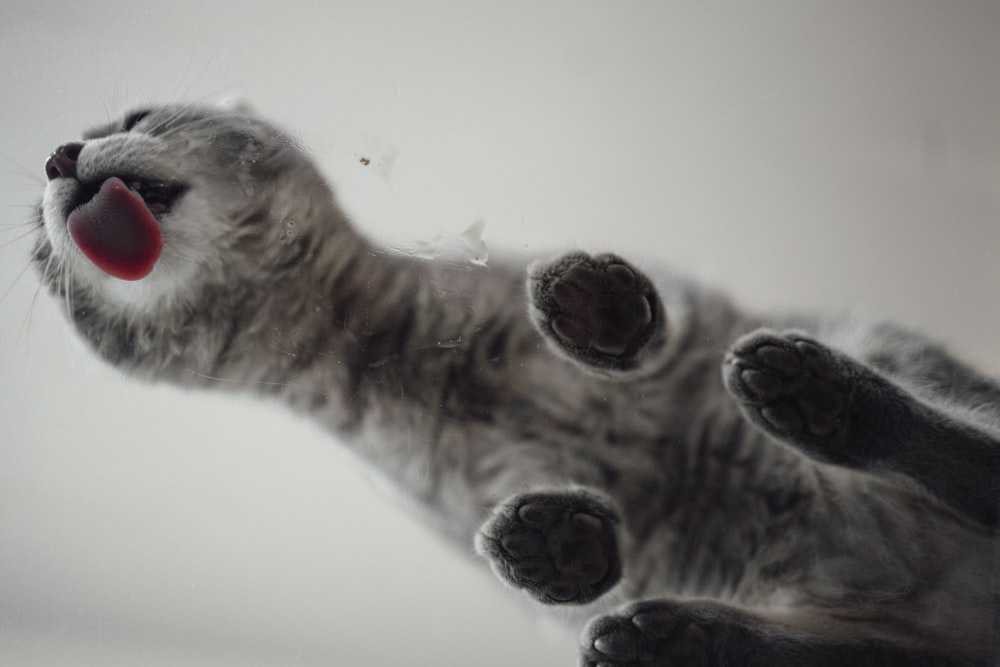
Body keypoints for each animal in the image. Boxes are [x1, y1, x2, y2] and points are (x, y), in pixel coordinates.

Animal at [33, 104, 1000, 667]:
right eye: (40, 251)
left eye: (135, 112)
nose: (56, 154)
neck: (384, 345)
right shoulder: (464, 499)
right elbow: (560, 557)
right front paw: (558, 542)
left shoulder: (691, 315)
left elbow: (653, 324)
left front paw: (597, 309)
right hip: (871, 642)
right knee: (851, 648)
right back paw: (673, 631)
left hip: (883, 344)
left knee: (969, 450)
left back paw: (814, 395)